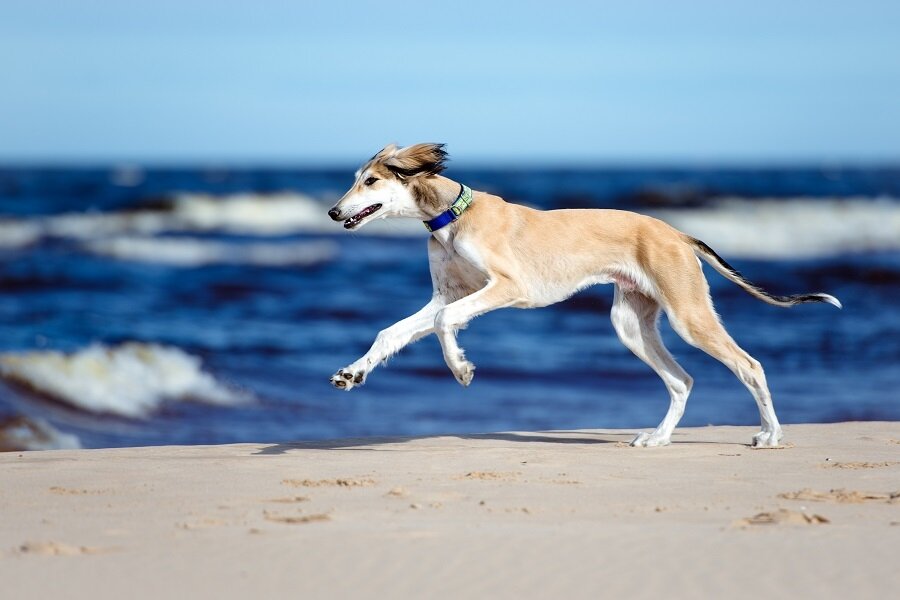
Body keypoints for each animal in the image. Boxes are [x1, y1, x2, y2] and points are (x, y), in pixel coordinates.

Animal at [326, 143, 840, 448]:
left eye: (371, 181)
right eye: (356, 178)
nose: (333, 212)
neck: (454, 214)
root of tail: (676, 232)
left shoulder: (508, 287)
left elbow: (442, 323)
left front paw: (461, 369)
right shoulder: (448, 295)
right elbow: (393, 332)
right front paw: (352, 373)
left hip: (688, 315)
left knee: (749, 365)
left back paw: (770, 434)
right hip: (631, 324)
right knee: (681, 380)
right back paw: (658, 438)